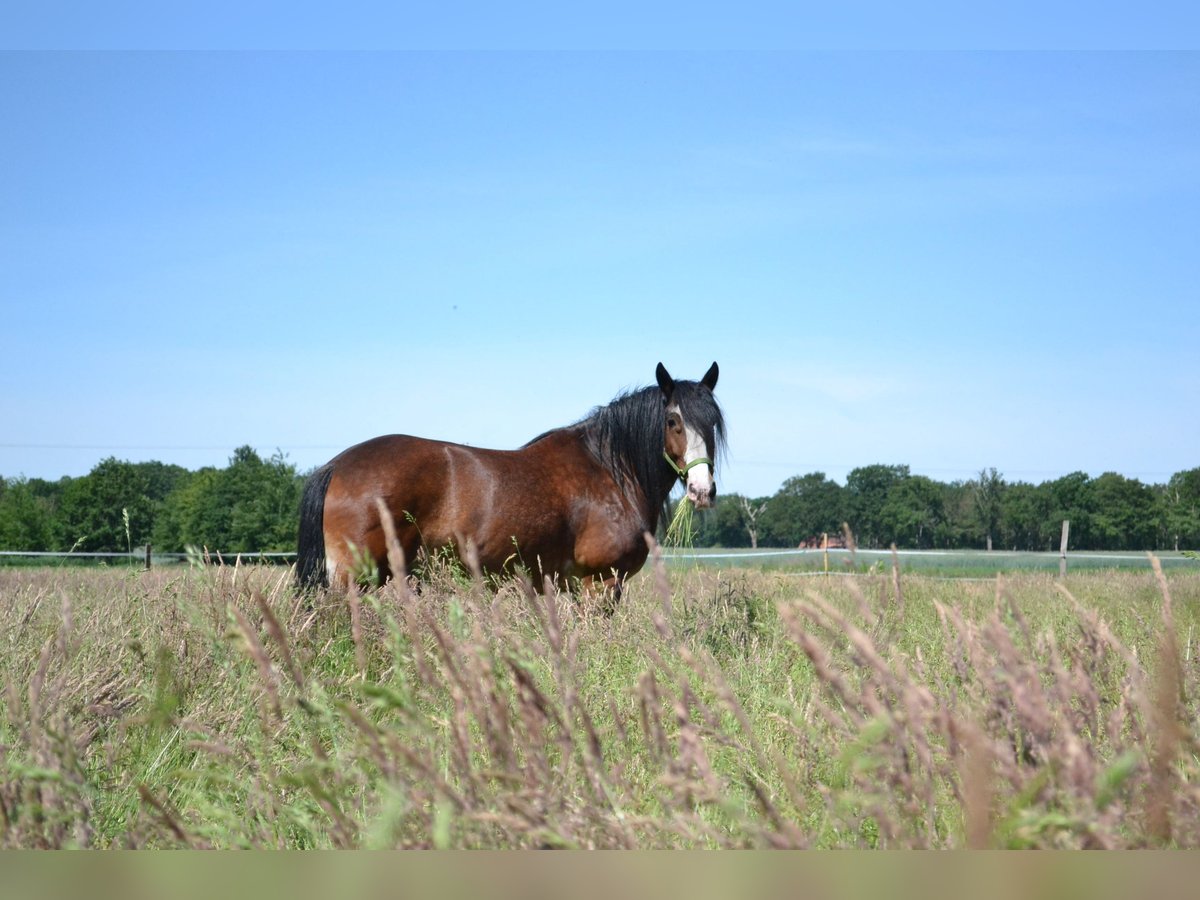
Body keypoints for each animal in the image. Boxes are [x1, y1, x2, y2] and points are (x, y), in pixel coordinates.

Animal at [295, 362, 724, 602]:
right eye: (673, 420)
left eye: (713, 422)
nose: (702, 490)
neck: (609, 470)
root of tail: (336, 465)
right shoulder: (600, 581)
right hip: (354, 577)